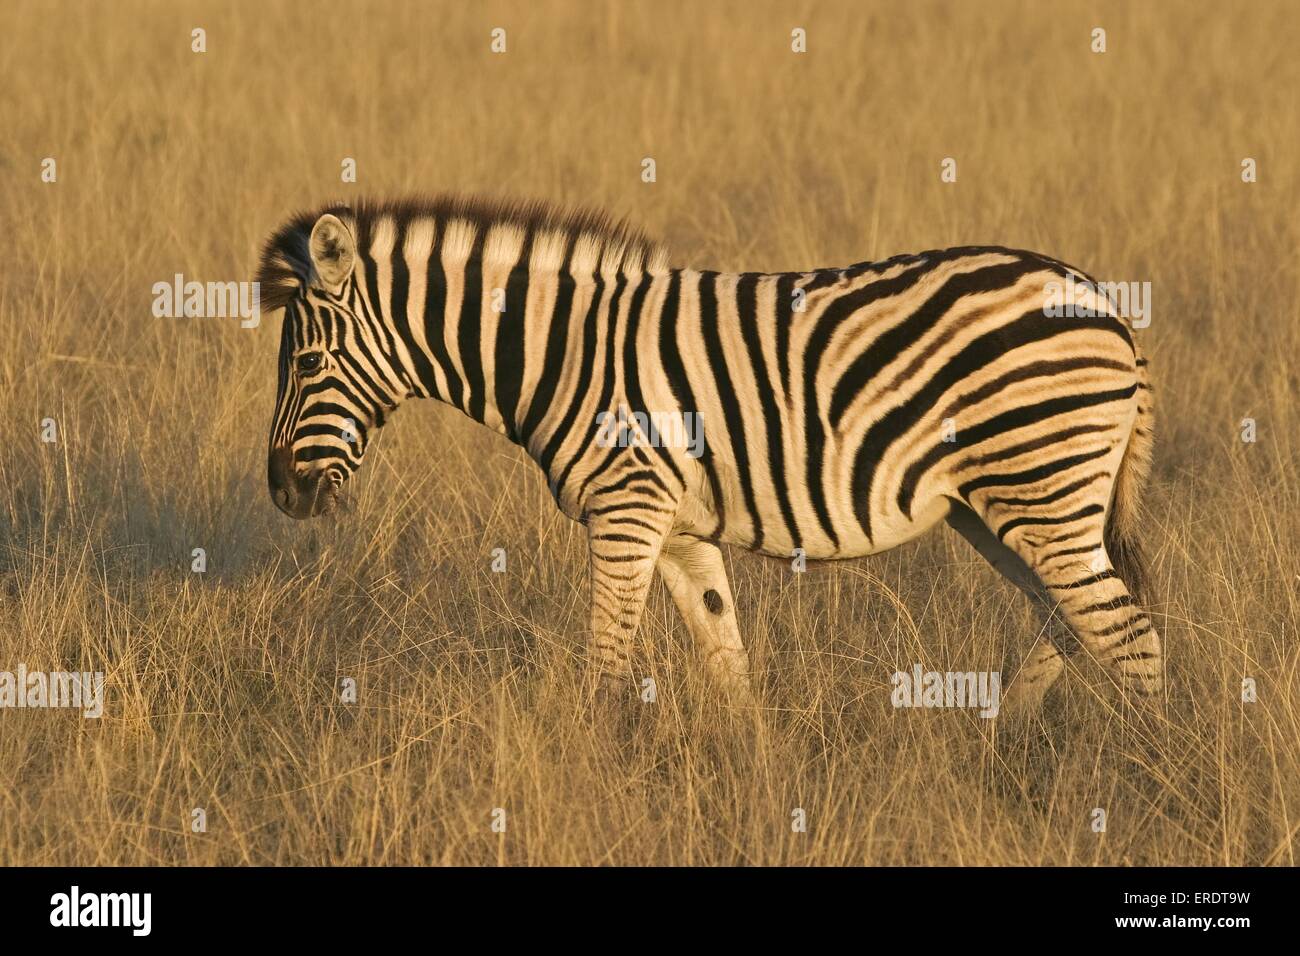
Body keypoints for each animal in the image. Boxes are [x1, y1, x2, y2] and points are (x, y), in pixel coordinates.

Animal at [257, 195, 1161, 716]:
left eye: (306, 363)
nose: (281, 494)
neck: (564, 352)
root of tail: (1107, 306)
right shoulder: (681, 529)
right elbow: (728, 664)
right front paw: (755, 785)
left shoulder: (626, 509)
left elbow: (605, 670)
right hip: (1002, 505)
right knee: (1072, 620)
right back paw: (997, 741)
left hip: (1039, 484)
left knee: (1128, 634)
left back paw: (1138, 774)